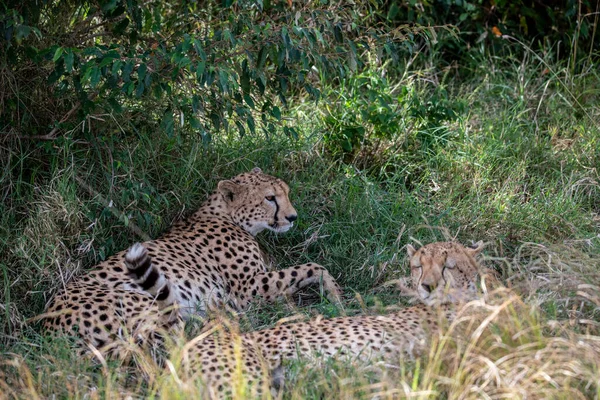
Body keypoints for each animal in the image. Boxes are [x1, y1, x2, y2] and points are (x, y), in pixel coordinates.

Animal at [41, 169, 342, 354]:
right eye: (270, 198)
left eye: (285, 193)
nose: (293, 217)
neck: (227, 215)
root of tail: (50, 331)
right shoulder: (248, 289)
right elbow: (313, 267)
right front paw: (335, 295)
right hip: (139, 300)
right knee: (169, 343)